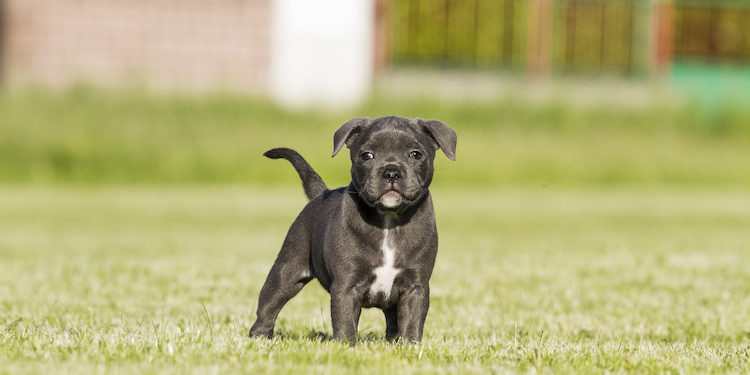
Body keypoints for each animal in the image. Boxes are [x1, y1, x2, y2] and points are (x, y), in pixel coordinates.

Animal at [250, 115, 456, 344]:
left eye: (415, 154)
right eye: (366, 156)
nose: (391, 172)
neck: (389, 220)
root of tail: (320, 194)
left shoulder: (415, 287)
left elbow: (412, 322)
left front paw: (409, 345)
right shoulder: (346, 286)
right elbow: (345, 321)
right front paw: (345, 346)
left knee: (393, 320)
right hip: (287, 271)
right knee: (269, 306)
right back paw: (259, 337)